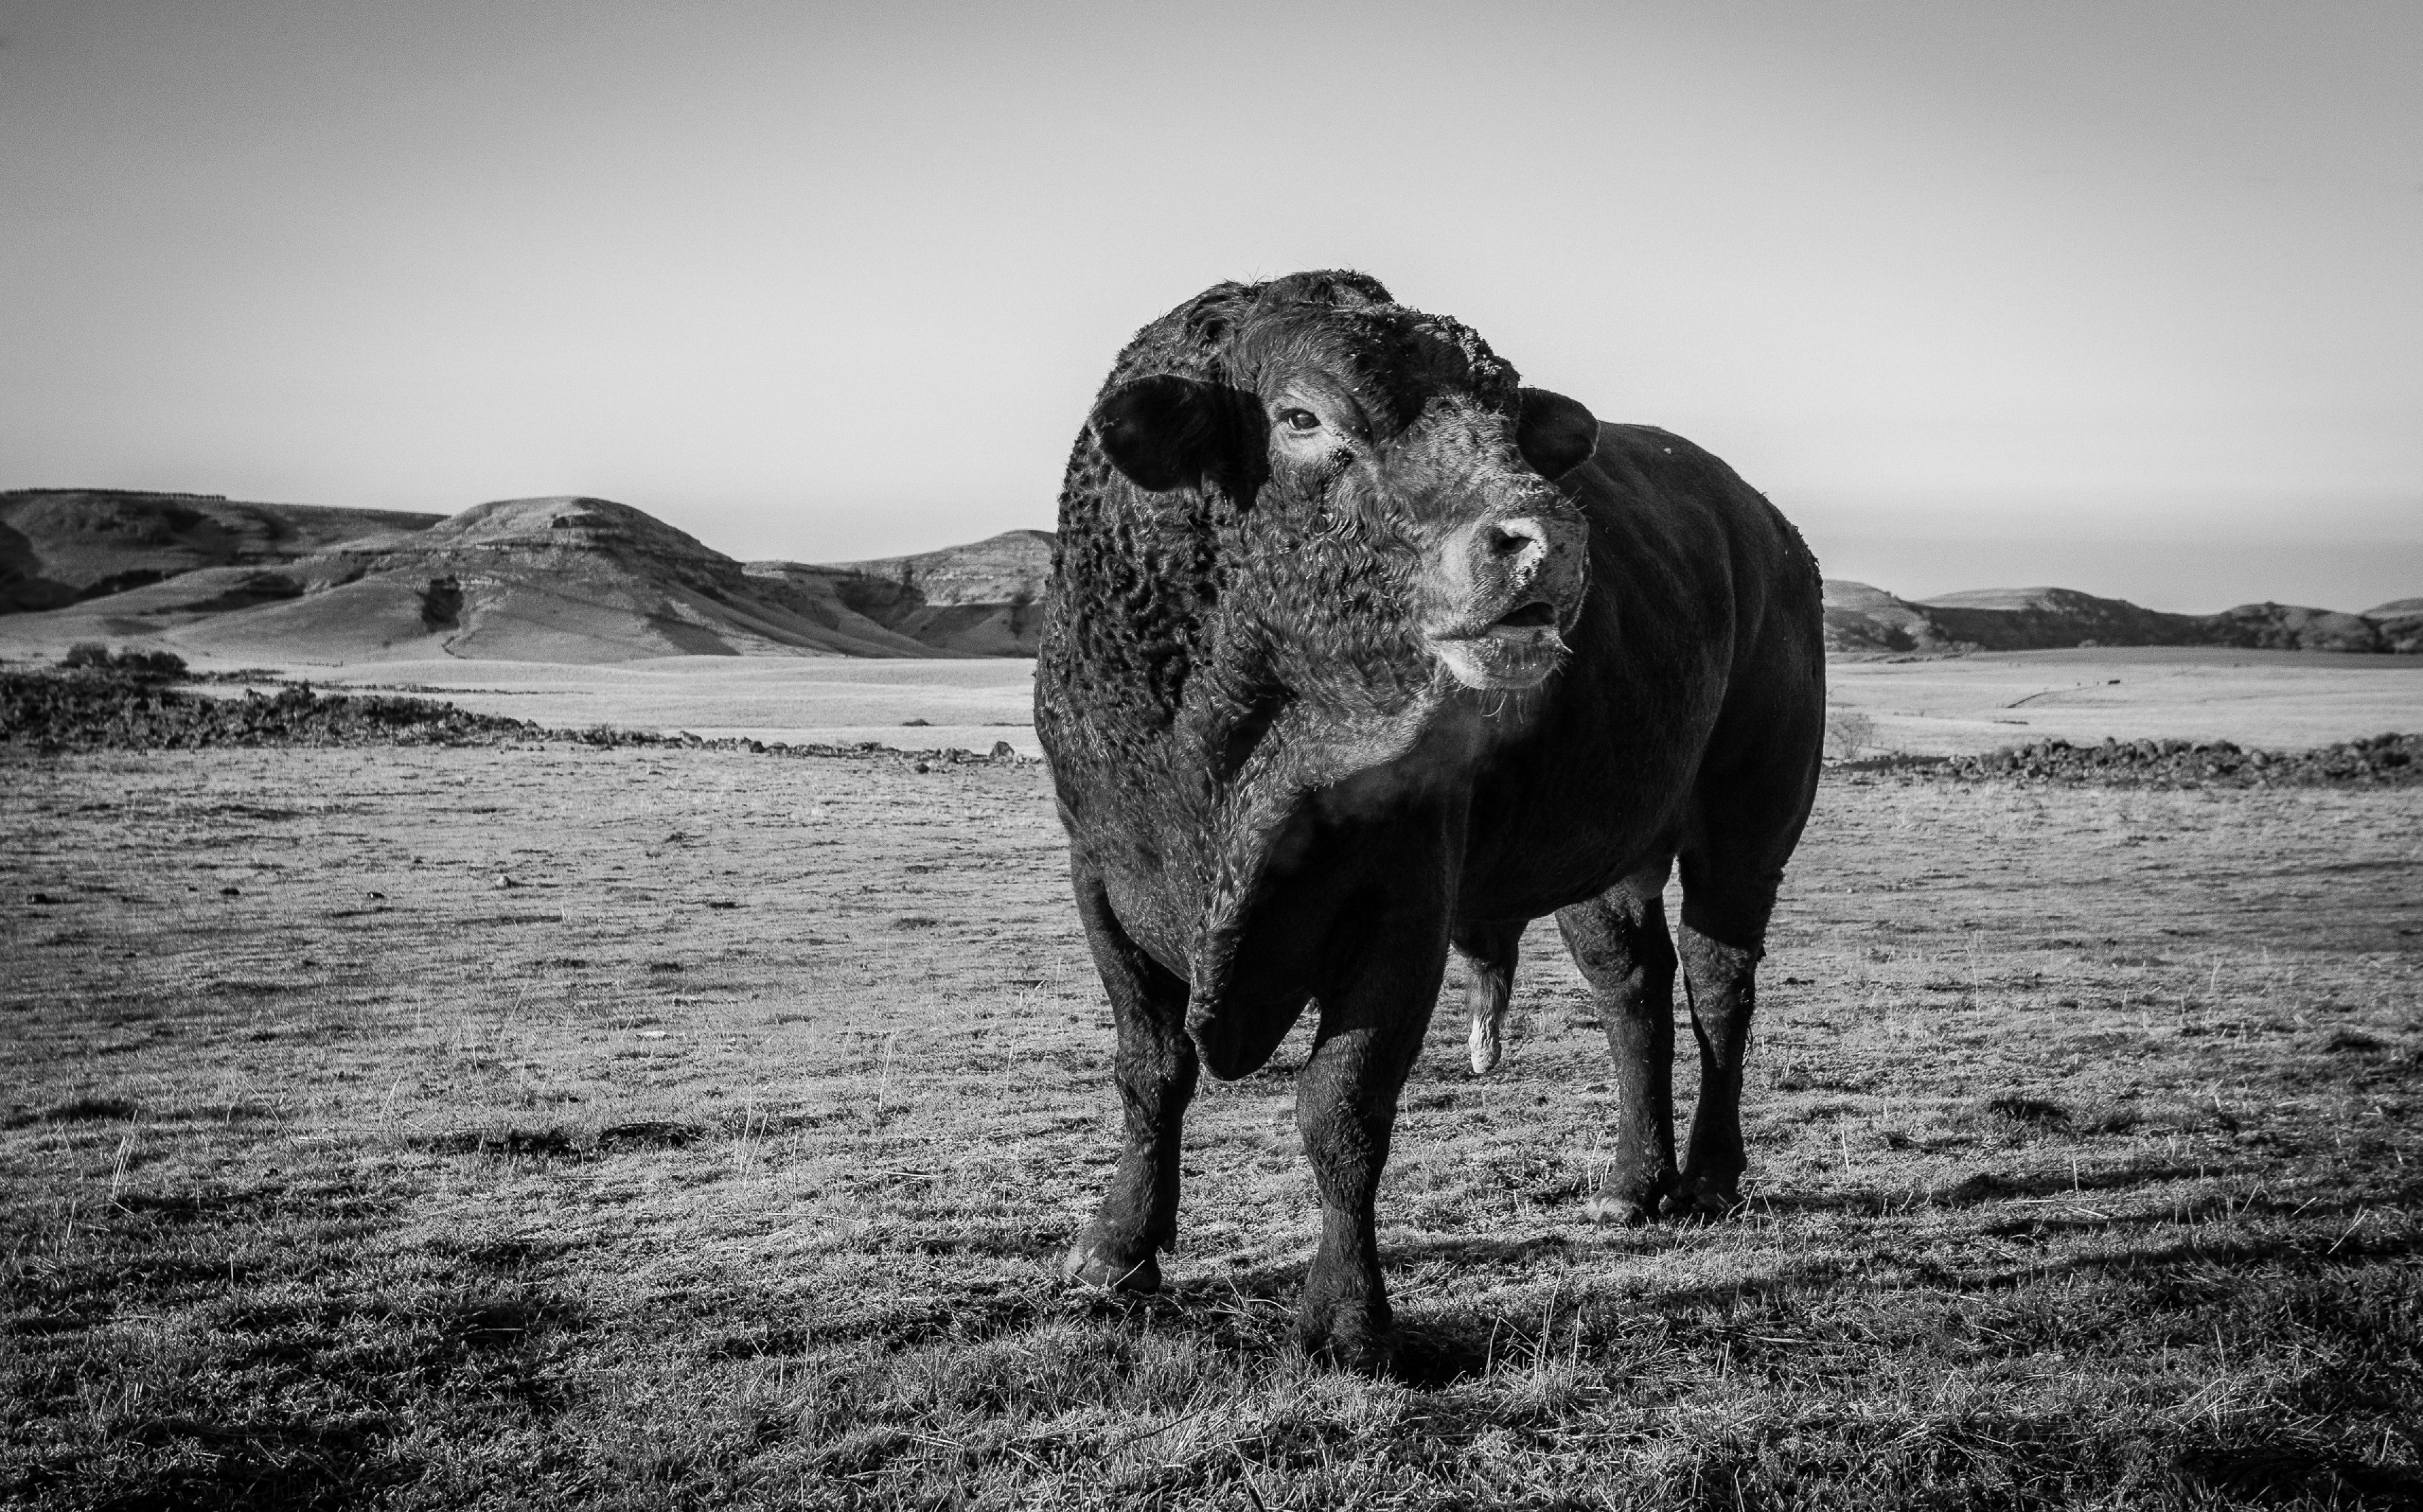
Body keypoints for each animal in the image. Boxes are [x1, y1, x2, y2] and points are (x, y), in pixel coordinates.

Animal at [1033, 271, 1825, 1372]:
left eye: (1506, 415)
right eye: (1301, 417)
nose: (1546, 541)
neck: (1228, 752)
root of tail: (1770, 532)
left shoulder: (1400, 906)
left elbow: (1343, 1107)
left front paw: (1347, 1321)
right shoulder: (1103, 879)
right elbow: (1151, 1072)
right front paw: (1114, 1252)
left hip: (1746, 829)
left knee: (1719, 985)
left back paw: (1708, 1177)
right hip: (1603, 853)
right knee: (1633, 989)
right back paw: (1634, 1185)